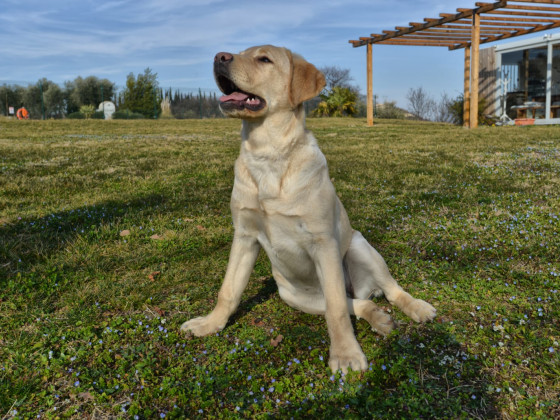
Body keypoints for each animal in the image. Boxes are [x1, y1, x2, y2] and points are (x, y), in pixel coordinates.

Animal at [182, 46, 436, 374]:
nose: (219, 56)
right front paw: (210, 324)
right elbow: (228, 291)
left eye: (264, 59)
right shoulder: (244, 235)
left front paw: (345, 355)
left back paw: (417, 307)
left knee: (387, 291)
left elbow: (337, 310)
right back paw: (379, 318)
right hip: (294, 296)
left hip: (360, 246)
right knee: (357, 303)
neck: (268, 153)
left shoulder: (323, 242)